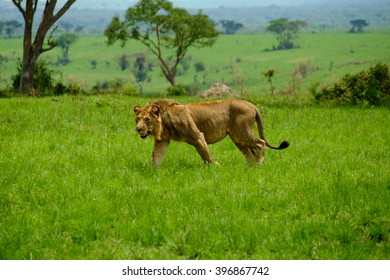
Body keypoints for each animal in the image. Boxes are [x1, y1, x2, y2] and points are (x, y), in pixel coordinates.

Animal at [134, 99, 290, 166]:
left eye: (147, 120)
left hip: (242, 133)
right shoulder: (163, 140)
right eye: (137, 119)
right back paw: (249, 167)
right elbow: (156, 157)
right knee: (250, 153)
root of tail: (252, 105)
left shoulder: (197, 136)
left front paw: (216, 167)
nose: (138, 129)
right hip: (238, 137)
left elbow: (206, 155)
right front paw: (153, 172)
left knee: (261, 143)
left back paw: (259, 164)